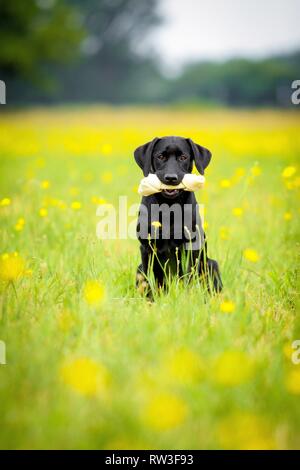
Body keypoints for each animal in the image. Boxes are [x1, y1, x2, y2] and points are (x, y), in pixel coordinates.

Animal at [135, 135, 221, 294]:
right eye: (160, 156)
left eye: (183, 157)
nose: (171, 178)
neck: (169, 207)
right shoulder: (146, 247)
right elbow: (151, 279)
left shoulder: (191, 246)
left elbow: (188, 277)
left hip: (211, 265)